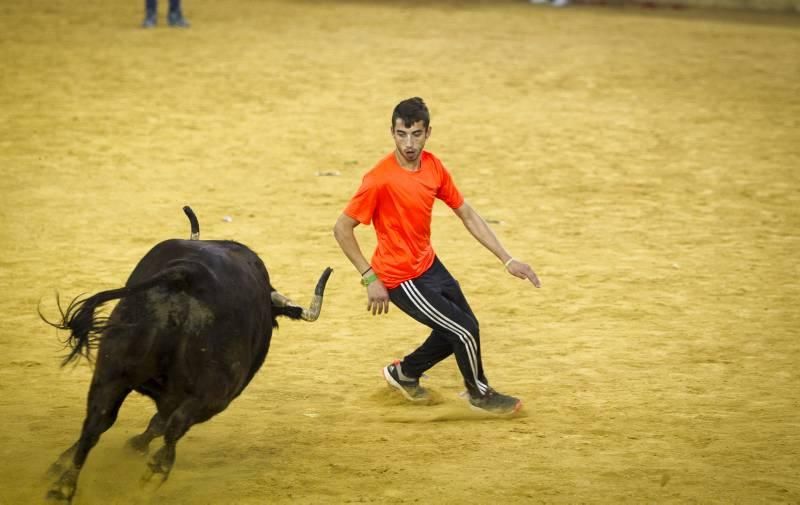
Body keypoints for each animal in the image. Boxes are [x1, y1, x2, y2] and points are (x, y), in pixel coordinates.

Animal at [41, 207, 332, 502]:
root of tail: (186, 275)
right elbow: (162, 424)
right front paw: (137, 447)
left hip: (112, 369)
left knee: (96, 422)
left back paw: (62, 485)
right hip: (212, 393)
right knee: (172, 427)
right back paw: (154, 473)